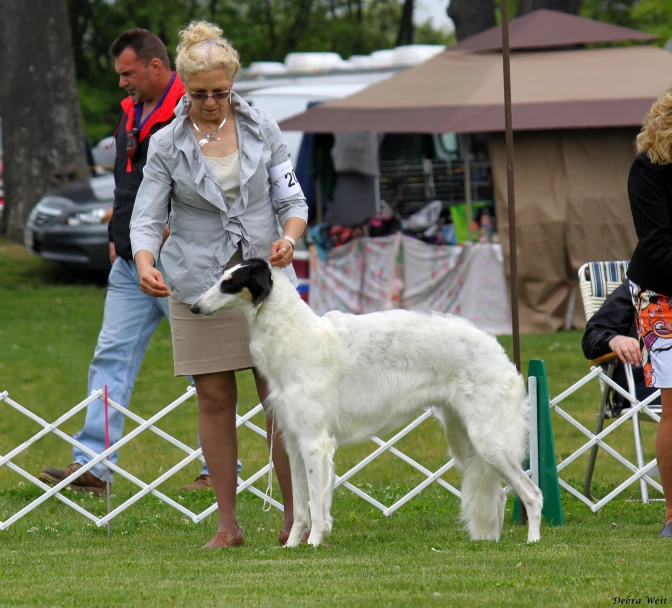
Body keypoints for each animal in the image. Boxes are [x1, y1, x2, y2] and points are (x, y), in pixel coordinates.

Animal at [190, 258, 544, 548]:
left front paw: (314, 543)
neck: (296, 336)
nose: (193, 307)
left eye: (230, 282)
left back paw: (532, 539)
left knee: (532, 493)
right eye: (221, 277)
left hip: (488, 441)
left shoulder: (316, 442)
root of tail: (498, 352)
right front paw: (291, 546)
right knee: (499, 495)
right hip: (466, 441)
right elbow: (301, 507)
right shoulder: (293, 442)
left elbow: (317, 506)